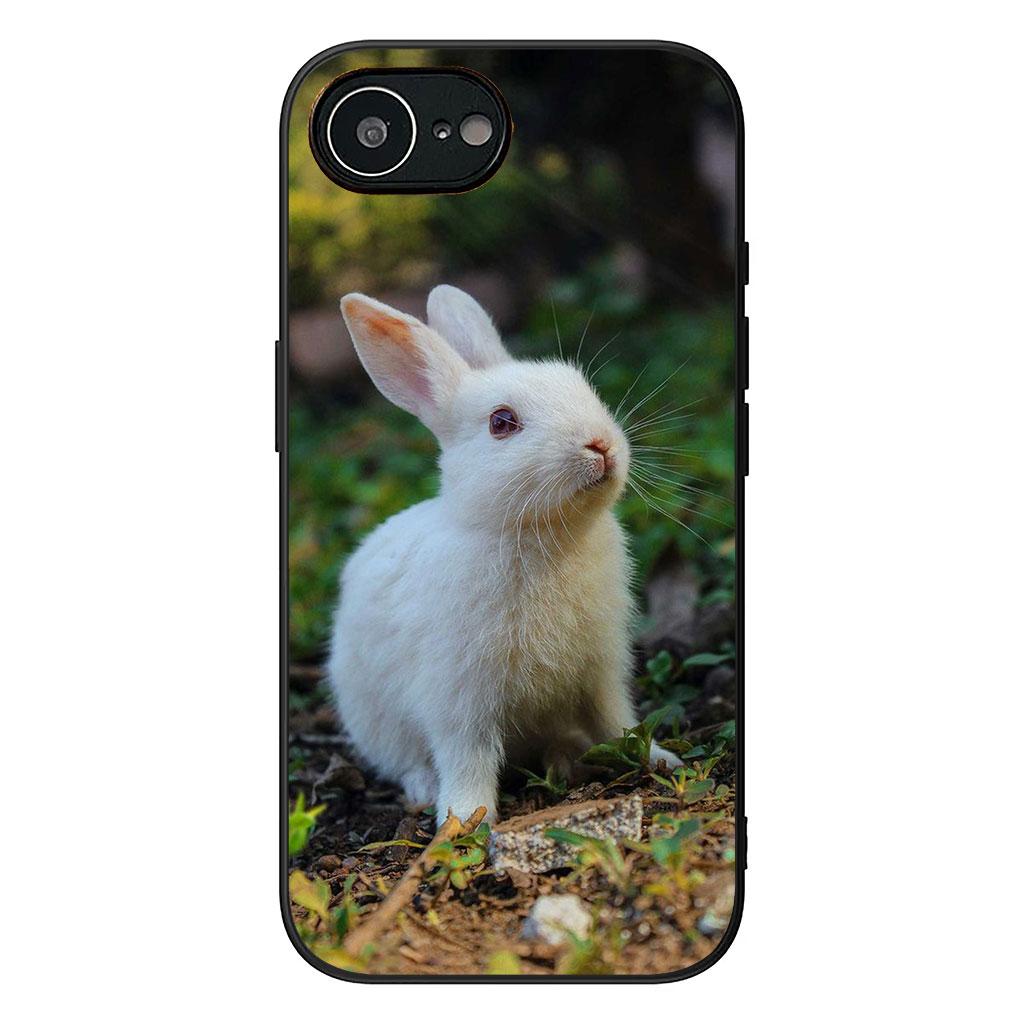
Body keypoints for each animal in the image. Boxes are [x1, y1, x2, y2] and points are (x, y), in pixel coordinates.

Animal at [327, 284, 682, 825]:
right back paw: (425, 790)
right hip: (374, 718)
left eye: (582, 387)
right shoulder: (459, 696)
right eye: (501, 422)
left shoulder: (602, 668)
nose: (600, 445)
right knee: (406, 760)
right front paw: (464, 820)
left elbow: (616, 719)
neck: (541, 534)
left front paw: (658, 758)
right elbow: (467, 757)